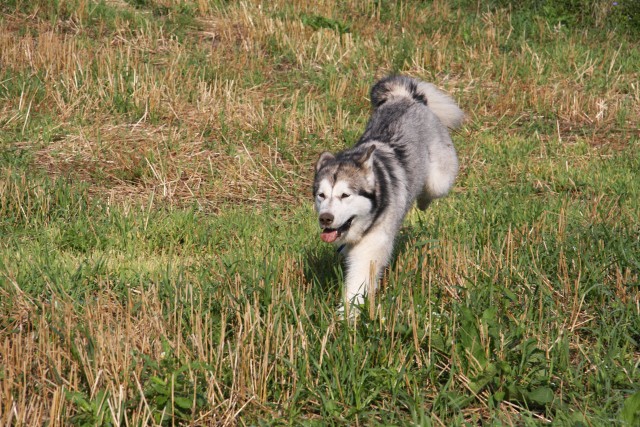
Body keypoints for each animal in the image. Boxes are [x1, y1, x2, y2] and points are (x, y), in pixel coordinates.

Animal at [312, 74, 462, 314]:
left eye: (345, 195)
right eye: (321, 195)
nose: (325, 218)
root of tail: (405, 96)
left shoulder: (371, 247)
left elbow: (359, 282)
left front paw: (346, 317)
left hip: (439, 178)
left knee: (431, 189)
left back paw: (423, 201)